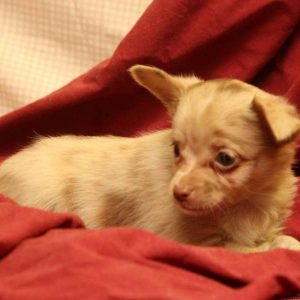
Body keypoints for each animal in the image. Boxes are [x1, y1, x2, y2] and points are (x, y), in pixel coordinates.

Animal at [0, 64, 300, 252]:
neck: (248, 201)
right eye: (176, 150)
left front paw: (285, 241)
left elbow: (279, 238)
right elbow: (250, 249)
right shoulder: (197, 242)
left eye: (225, 159)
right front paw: (276, 247)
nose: (177, 193)